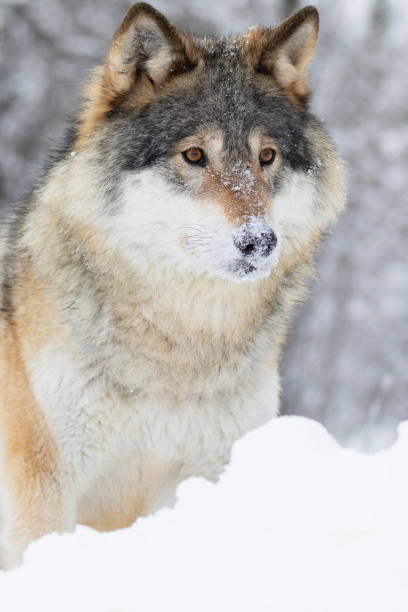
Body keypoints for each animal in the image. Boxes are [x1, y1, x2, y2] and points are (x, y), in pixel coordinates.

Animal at [0, 3, 344, 568]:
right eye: (195, 156)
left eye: (266, 156)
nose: (260, 242)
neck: (178, 354)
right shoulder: (42, 488)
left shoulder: (217, 467)